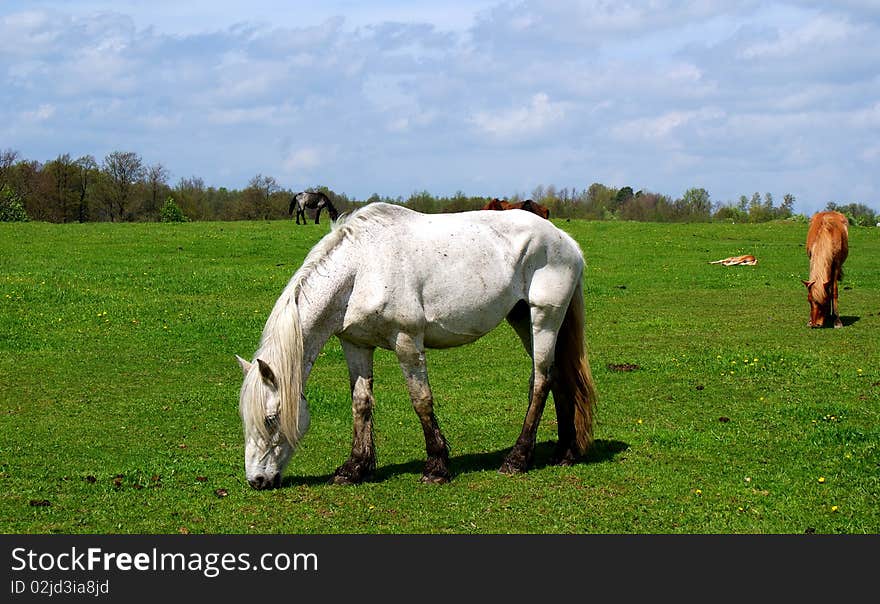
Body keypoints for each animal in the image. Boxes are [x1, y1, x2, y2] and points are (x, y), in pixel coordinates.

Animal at [237, 202, 600, 486]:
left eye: (271, 418)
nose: (257, 480)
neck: (360, 269)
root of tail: (565, 241)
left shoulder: (407, 341)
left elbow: (421, 400)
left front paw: (436, 467)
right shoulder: (355, 344)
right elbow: (361, 403)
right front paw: (354, 468)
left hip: (544, 319)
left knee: (541, 380)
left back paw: (517, 459)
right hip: (523, 319)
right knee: (558, 376)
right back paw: (565, 452)